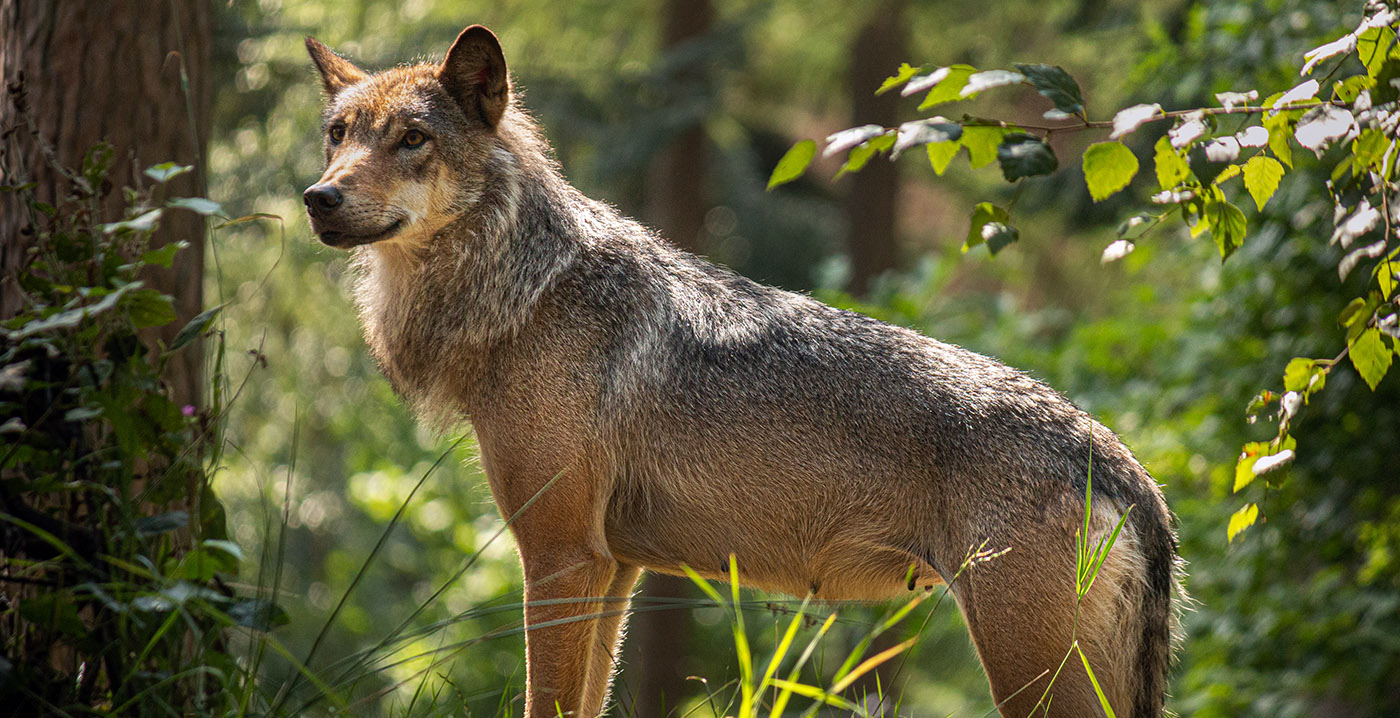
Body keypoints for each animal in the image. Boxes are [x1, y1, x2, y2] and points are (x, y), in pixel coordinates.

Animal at [301, 23, 1176, 716]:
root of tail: (1122, 463)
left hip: (1031, 674)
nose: (317, 197)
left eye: (412, 139)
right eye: (340, 134)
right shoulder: (614, 569)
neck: (527, 289)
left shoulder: (559, 557)